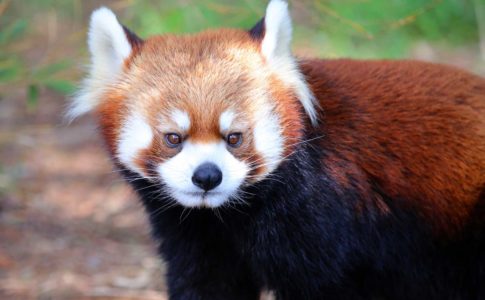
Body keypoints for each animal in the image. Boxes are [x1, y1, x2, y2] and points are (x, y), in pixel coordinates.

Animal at [68, 0, 484, 300]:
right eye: (173, 138)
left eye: (235, 137)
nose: (207, 176)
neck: (230, 215)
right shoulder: (195, 235)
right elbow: (207, 283)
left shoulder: (326, 216)